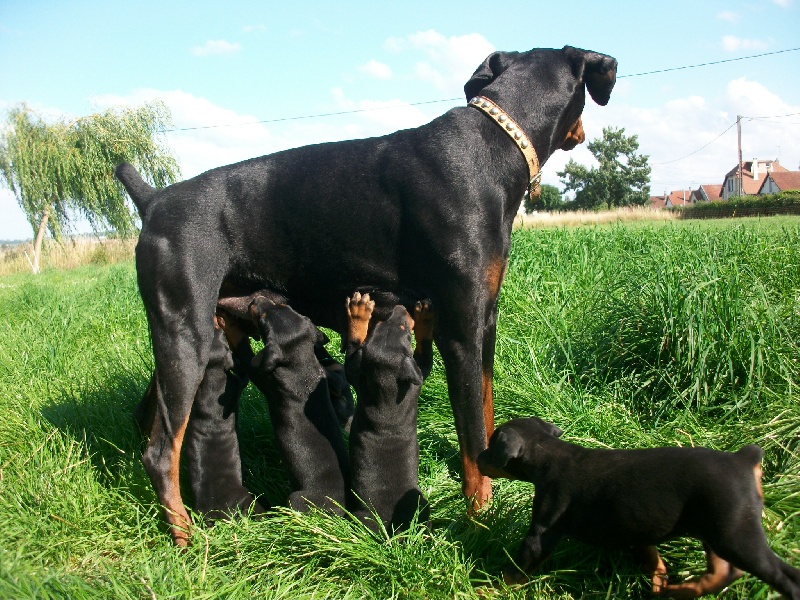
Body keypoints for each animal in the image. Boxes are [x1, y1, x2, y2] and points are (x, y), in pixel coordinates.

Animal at [216, 298, 350, 512]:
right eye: (284, 307)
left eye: (262, 317)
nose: (255, 299)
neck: (301, 364)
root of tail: (342, 510)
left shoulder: (258, 373)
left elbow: (241, 346)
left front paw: (227, 320)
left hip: (296, 498)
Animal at [344, 292, 432, 532]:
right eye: (404, 329)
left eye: (381, 323)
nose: (401, 307)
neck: (384, 389)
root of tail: (389, 529)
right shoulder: (418, 374)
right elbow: (425, 353)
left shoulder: (358, 377)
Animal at [478, 420, 796, 596]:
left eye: (492, 447)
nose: (478, 457)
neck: (551, 454)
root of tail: (745, 460)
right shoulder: (635, 534)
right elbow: (654, 562)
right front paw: (658, 584)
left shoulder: (542, 531)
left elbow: (516, 569)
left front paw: (488, 589)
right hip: (717, 530)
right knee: (724, 571)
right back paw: (681, 591)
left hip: (737, 535)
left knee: (780, 575)